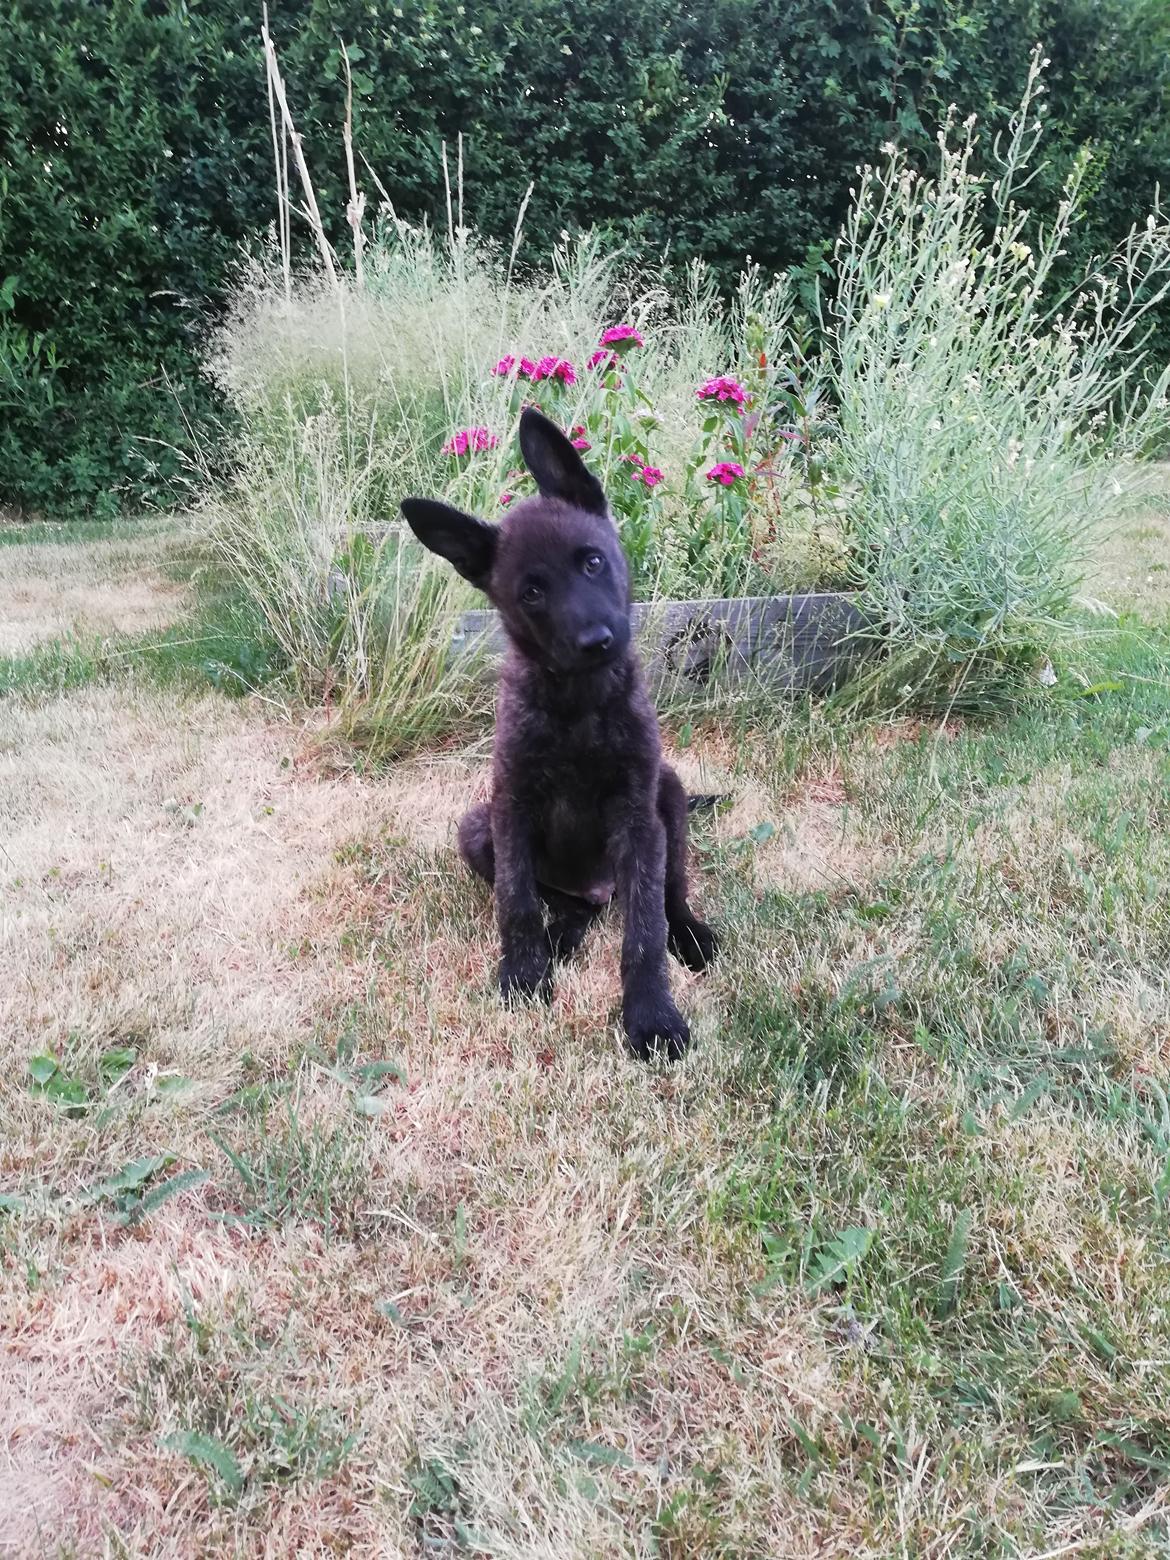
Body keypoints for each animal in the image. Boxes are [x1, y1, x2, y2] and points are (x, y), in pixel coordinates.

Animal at [402, 408, 714, 1060]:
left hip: (668, 799)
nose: (597, 641)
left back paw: (690, 934)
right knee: (564, 904)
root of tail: (600, 892)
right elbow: (517, 902)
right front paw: (524, 974)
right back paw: (562, 936)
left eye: (591, 561)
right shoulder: (511, 807)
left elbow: (645, 930)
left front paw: (651, 1017)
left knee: (668, 893)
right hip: (476, 827)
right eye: (532, 592)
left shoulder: (637, 815)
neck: (579, 706)